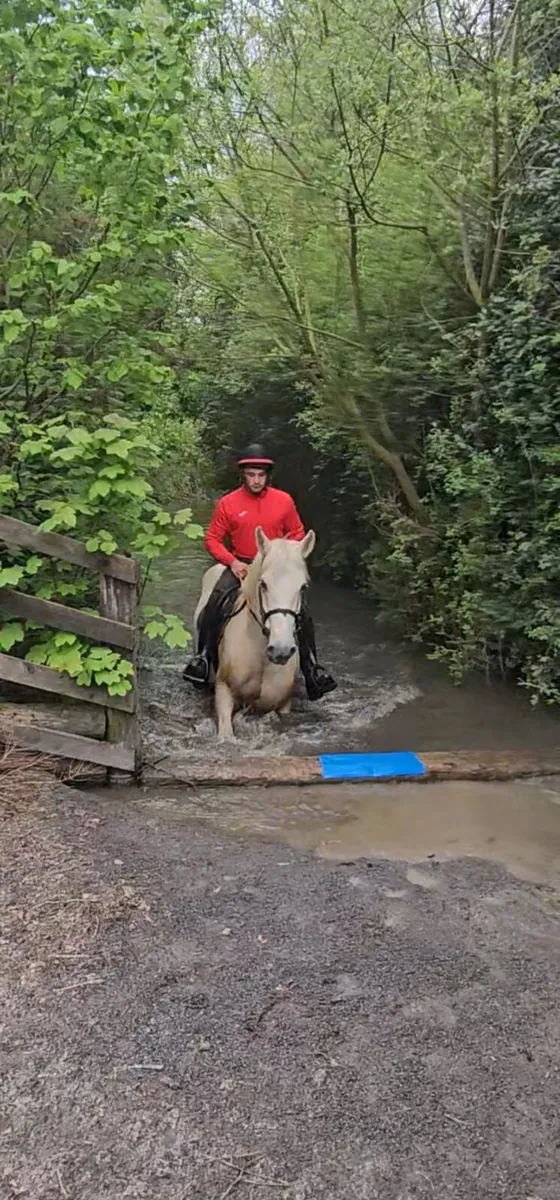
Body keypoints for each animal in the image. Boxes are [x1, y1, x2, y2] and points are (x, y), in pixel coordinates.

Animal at [193, 525, 316, 741]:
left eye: (303, 587)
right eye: (264, 584)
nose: (281, 650)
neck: (259, 656)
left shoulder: (283, 703)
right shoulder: (224, 691)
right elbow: (225, 732)